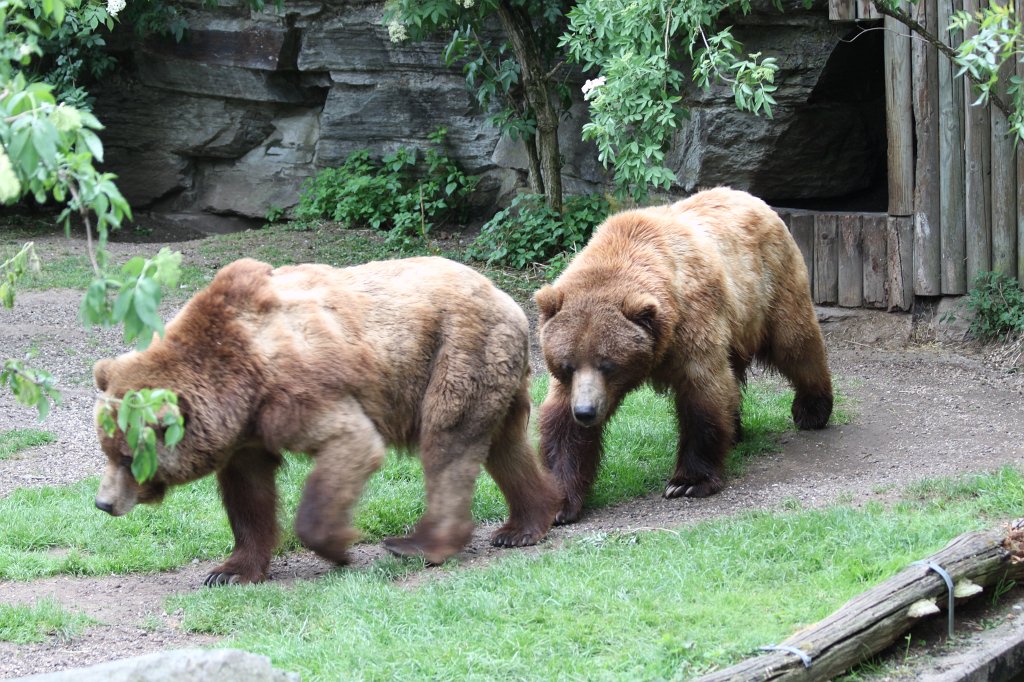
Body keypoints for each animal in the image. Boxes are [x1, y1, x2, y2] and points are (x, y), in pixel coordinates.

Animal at [93, 256, 560, 585]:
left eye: (127, 456)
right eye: (107, 449)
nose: (103, 503)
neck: (238, 380)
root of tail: (508, 299)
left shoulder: (296, 390)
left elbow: (350, 443)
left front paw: (338, 547)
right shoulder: (247, 432)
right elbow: (248, 493)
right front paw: (229, 571)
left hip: (457, 353)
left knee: (449, 441)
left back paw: (418, 544)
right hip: (494, 371)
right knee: (503, 445)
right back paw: (524, 525)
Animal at [535, 187, 832, 524]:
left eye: (608, 364)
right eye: (567, 365)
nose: (585, 411)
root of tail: (753, 198)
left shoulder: (693, 324)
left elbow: (703, 394)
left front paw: (687, 483)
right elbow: (562, 425)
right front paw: (559, 503)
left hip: (770, 285)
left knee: (795, 343)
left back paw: (812, 409)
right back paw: (736, 430)